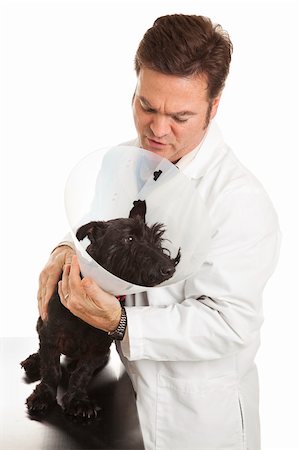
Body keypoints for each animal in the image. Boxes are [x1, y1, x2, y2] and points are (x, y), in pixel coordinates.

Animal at [21, 202, 182, 420]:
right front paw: (43, 396)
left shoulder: (97, 349)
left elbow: (82, 374)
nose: (169, 268)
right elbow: (51, 370)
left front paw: (78, 400)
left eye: (156, 238)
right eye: (129, 238)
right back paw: (34, 360)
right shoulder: (51, 336)